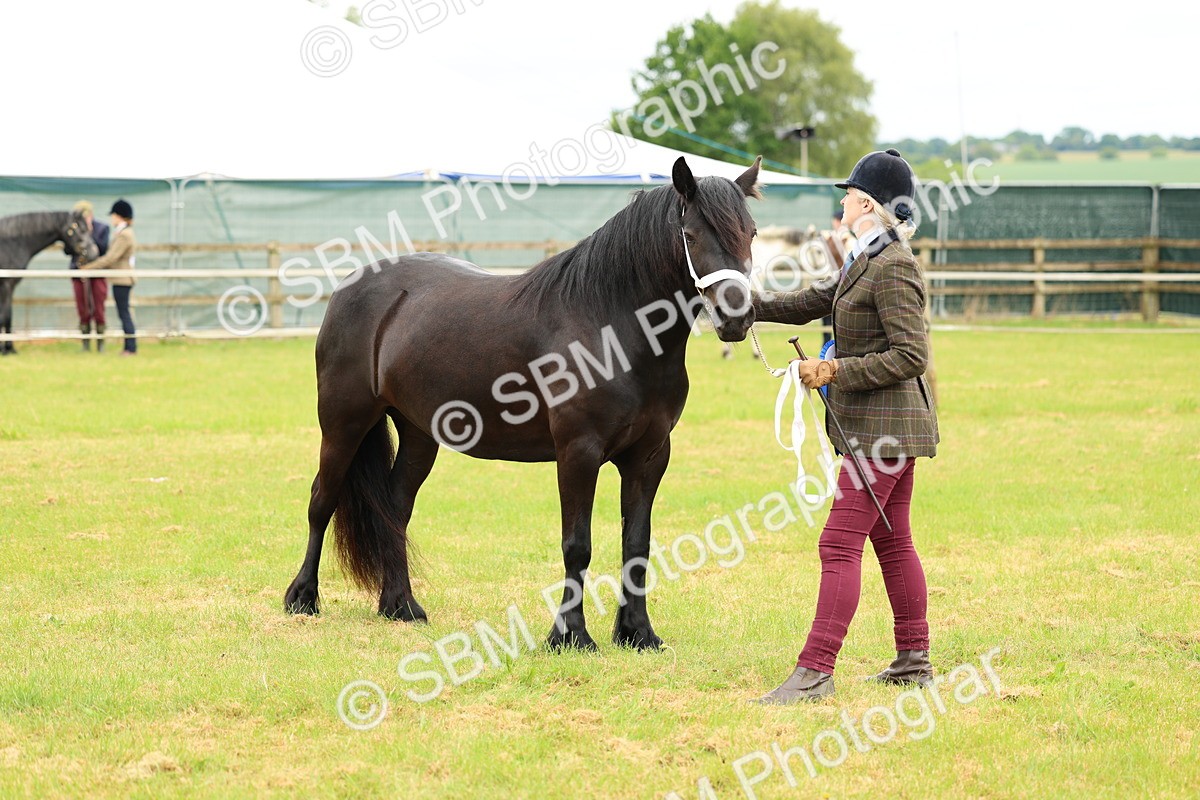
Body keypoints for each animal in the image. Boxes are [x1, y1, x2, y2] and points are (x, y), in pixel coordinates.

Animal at [0, 210, 99, 354]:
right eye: (81, 229)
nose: (94, 253)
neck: (12, 243)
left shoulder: (9, 287)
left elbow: (8, 315)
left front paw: (9, 349)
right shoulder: (6, 285)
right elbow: (5, 315)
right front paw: (6, 349)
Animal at [284, 156, 762, 651]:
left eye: (751, 233)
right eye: (691, 235)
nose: (736, 317)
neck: (611, 327)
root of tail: (348, 287)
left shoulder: (649, 456)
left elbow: (637, 544)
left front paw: (638, 633)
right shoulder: (578, 452)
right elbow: (578, 545)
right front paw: (571, 636)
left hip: (419, 434)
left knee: (395, 508)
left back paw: (400, 606)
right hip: (343, 423)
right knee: (322, 500)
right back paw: (303, 598)